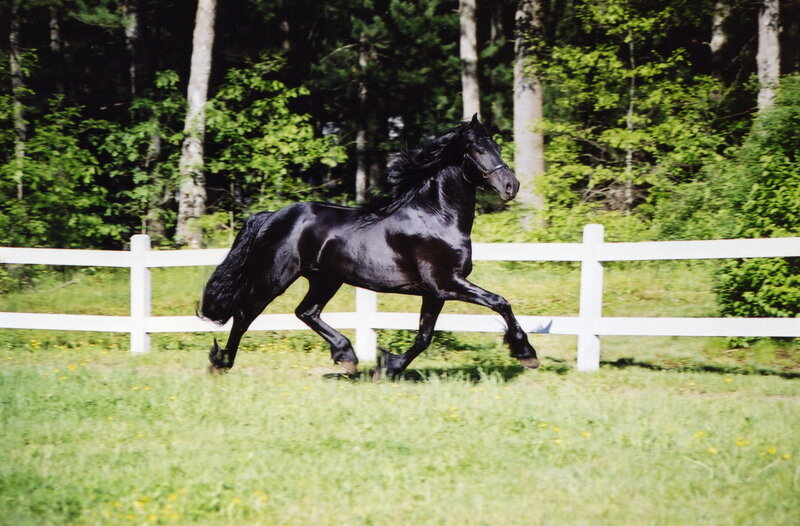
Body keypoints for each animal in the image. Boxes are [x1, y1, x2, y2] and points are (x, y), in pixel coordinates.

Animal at [200, 115, 540, 379]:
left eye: (497, 147)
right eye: (479, 149)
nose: (511, 186)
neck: (436, 217)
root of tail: (272, 216)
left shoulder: (434, 293)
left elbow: (424, 337)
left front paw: (387, 367)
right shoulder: (446, 284)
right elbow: (500, 302)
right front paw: (526, 353)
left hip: (325, 279)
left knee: (306, 312)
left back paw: (347, 357)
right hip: (274, 278)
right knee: (245, 314)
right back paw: (221, 363)